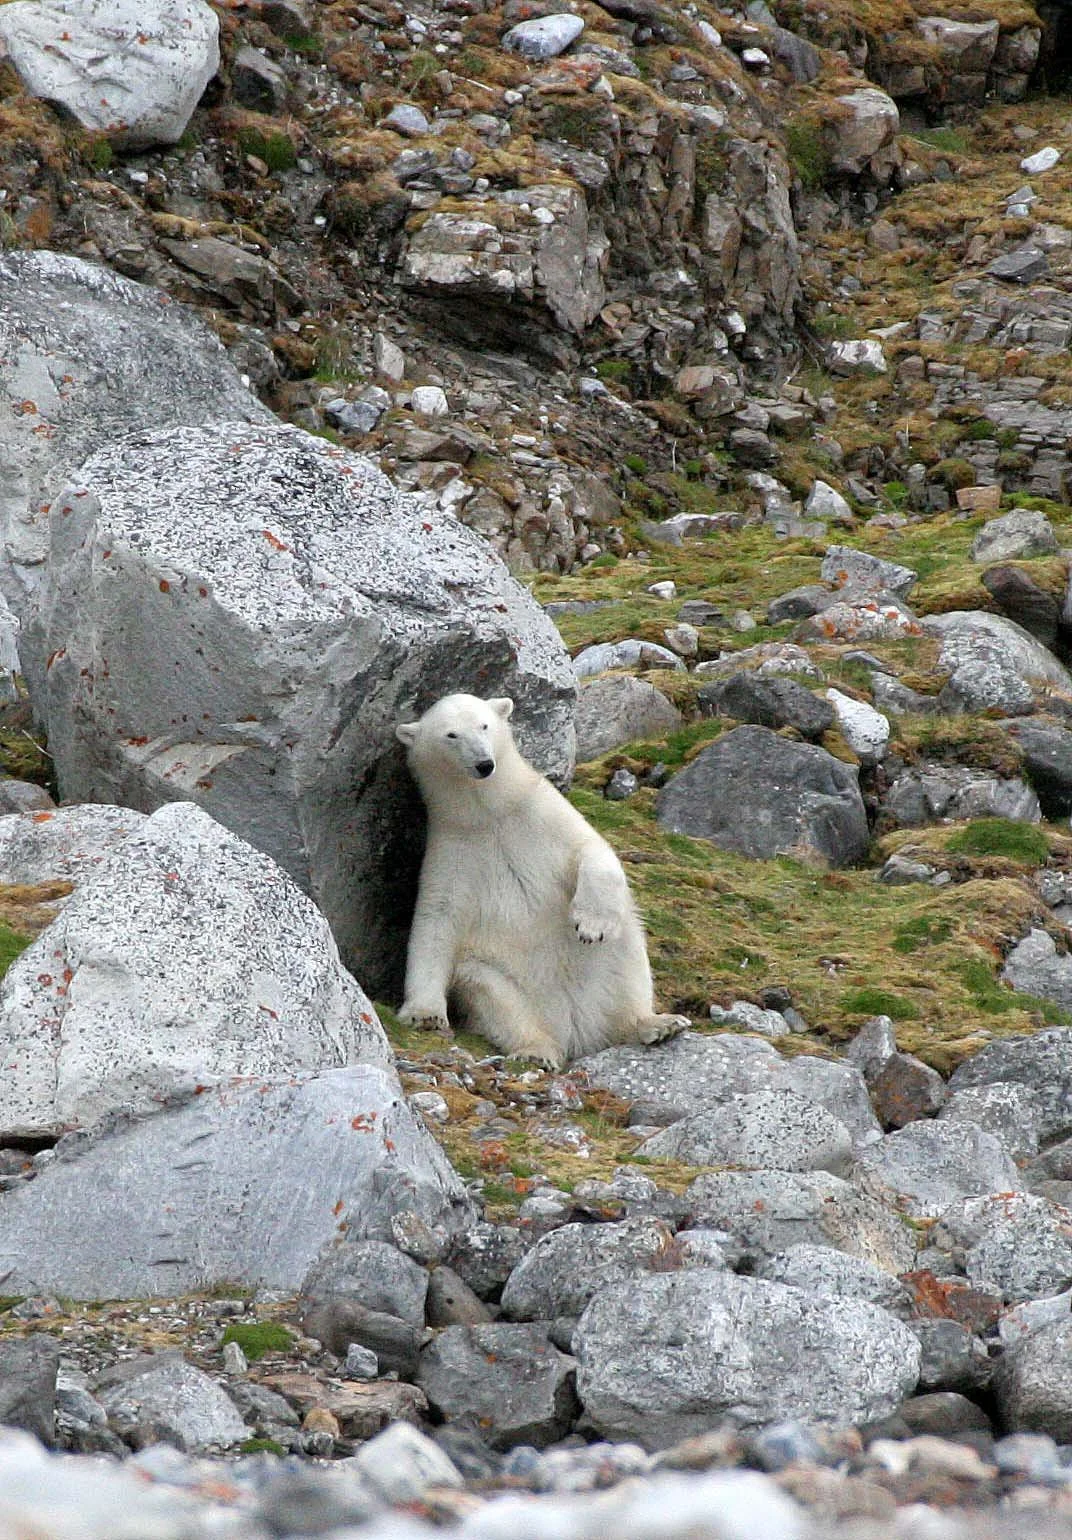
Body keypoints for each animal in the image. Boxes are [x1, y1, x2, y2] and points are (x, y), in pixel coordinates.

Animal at [395, 692, 689, 1068]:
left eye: (484, 725)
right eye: (451, 735)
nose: (484, 764)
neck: (488, 813)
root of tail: (576, 1029)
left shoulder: (542, 815)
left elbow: (593, 850)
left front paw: (591, 925)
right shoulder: (453, 848)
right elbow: (436, 920)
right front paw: (425, 1014)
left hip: (614, 964)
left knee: (627, 956)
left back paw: (656, 1023)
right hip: (500, 979)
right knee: (495, 999)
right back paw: (537, 1050)